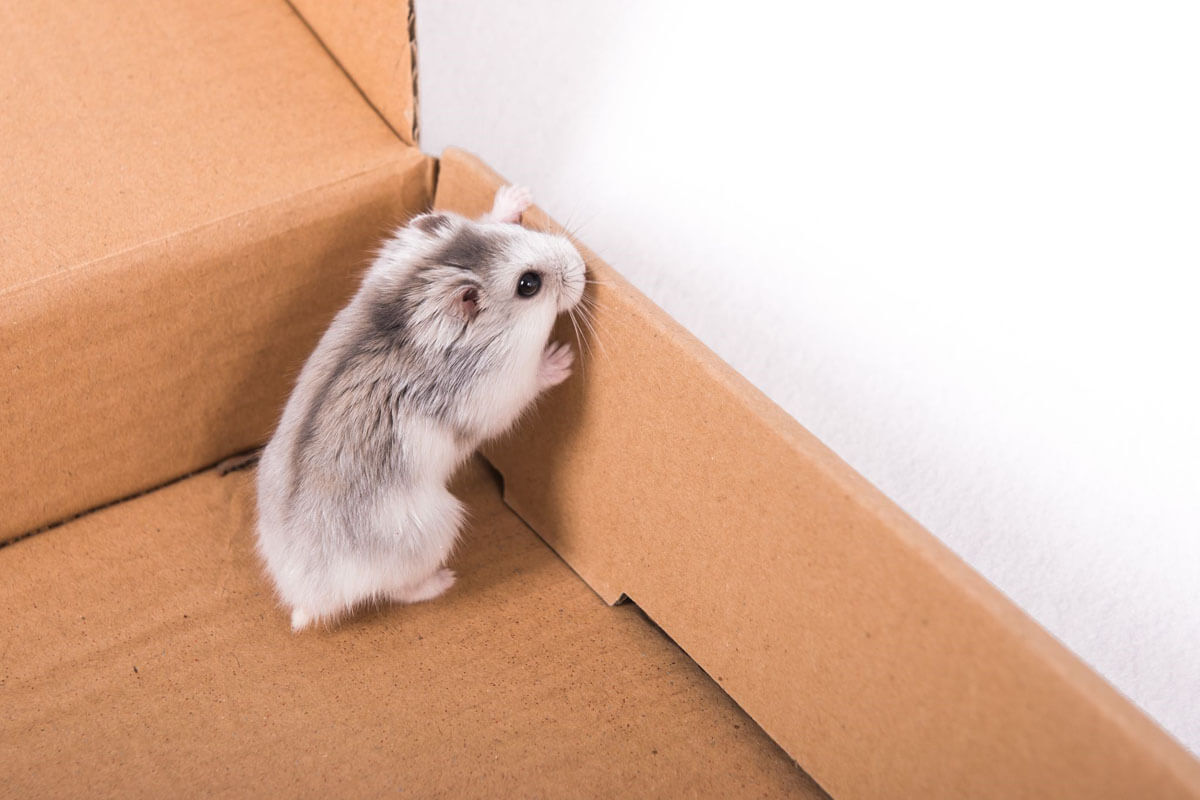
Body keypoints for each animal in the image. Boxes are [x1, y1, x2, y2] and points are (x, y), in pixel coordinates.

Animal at [255, 185, 585, 631]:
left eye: (512, 235)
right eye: (528, 284)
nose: (582, 265)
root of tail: (305, 597)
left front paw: (514, 196)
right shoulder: (500, 391)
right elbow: (531, 383)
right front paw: (562, 358)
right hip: (438, 527)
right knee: (396, 591)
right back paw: (444, 581)